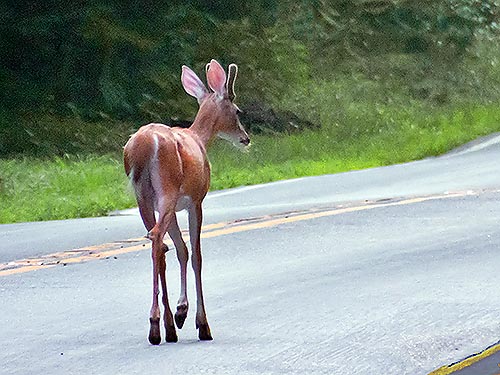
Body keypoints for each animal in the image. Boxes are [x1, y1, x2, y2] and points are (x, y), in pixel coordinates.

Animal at [123, 59, 250, 346]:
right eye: (238, 110)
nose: (246, 138)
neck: (200, 140)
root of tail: (143, 145)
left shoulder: (173, 207)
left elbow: (181, 250)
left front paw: (181, 312)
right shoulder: (196, 200)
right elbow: (196, 254)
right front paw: (202, 323)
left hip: (144, 198)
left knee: (157, 242)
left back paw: (168, 325)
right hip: (167, 189)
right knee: (158, 238)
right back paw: (157, 325)